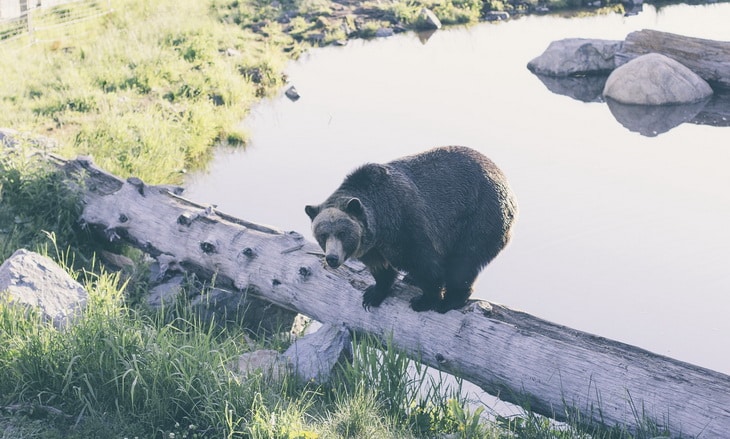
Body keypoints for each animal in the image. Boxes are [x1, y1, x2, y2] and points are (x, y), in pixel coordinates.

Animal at [304, 146, 516, 314]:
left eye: (342, 233)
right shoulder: (373, 247)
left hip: (478, 217)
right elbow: (380, 269)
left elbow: (426, 265)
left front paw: (425, 300)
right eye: (323, 235)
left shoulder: (406, 227)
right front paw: (373, 294)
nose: (332, 258)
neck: (382, 225)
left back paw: (451, 300)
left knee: (463, 262)